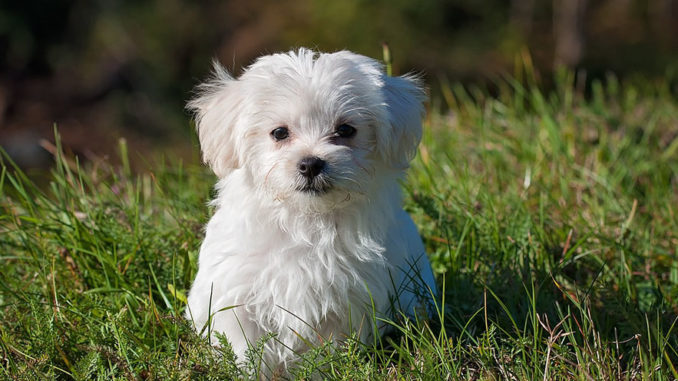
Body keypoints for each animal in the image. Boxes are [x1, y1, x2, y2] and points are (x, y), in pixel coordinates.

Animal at [186, 48, 438, 372]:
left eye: (345, 130)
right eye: (279, 133)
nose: (310, 163)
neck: (306, 219)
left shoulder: (347, 300)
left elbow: (328, 349)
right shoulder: (236, 293)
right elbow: (244, 346)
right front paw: (248, 371)